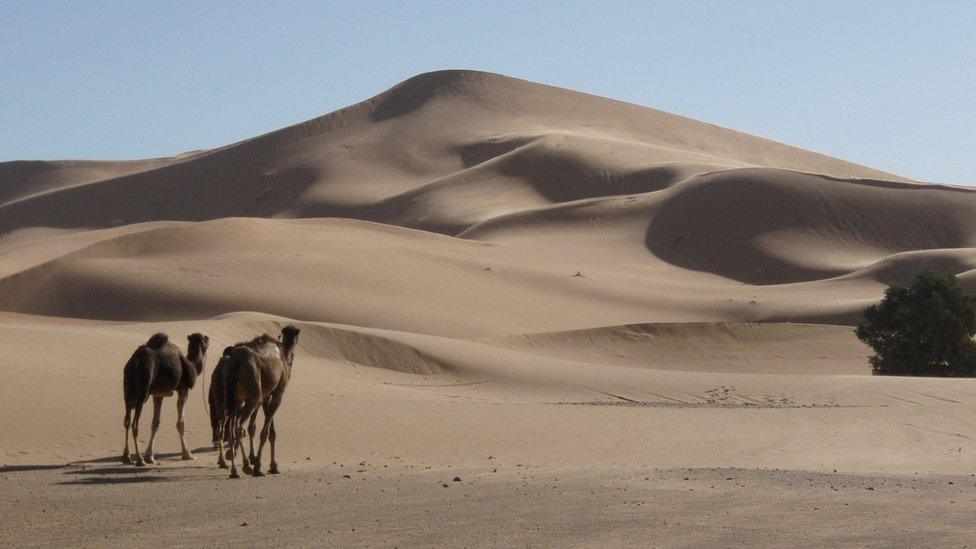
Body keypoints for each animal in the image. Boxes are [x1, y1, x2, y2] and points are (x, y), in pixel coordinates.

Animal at [121, 332, 209, 466]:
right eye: (204, 339)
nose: (209, 340)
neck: (191, 365)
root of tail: (134, 363)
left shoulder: (158, 394)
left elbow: (155, 423)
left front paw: (150, 456)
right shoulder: (183, 390)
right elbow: (181, 423)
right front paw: (187, 454)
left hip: (127, 393)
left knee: (126, 421)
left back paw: (126, 457)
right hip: (142, 392)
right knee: (134, 424)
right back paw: (140, 460)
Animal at [222, 325, 301, 478]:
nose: (290, 359)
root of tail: (236, 360)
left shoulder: (266, 397)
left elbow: (271, 431)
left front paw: (273, 465)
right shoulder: (278, 394)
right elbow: (265, 432)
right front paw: (259, 466)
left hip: (234, 399)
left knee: (232, 427)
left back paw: (234, 470)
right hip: (253, 396)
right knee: (240, 426)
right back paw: (247, 466)